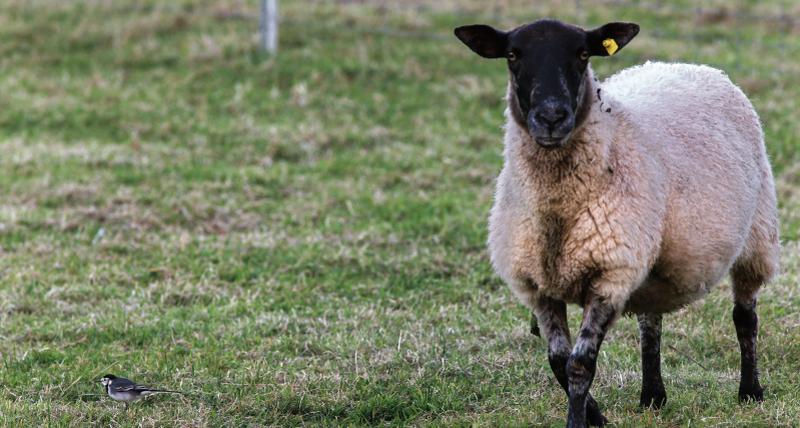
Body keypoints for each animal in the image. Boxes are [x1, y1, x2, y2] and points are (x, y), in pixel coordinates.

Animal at [454, 18, 780, 426]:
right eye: (513, 54)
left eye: (582, 54)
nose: (551, 117)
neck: (557, 212)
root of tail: (685, 64)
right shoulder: (537, 285)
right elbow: (558, 361)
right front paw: (597, 418)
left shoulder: (609, 274)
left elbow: (580, 364)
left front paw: (579, 421)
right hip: (652, 261)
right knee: (650, 323)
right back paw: (653, 396)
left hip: (757, 233)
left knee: (745, 316)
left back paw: (750, 391)